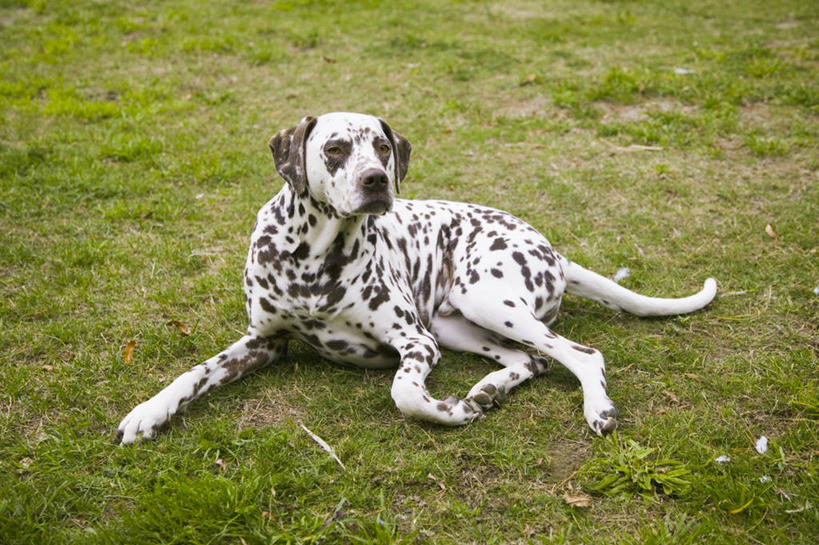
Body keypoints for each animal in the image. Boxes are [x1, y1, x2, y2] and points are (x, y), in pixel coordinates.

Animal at [117, 110, 716, 442]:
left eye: (382, 146)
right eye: (335, 148)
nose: (377, 180)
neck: (313, 256)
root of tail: (555, 251)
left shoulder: (415, 342)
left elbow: (404, 393)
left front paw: (443, 410)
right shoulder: (262, 342)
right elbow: (194, 372)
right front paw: (148, 412)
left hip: (482, 301)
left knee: (581, 355)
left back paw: (596, 408)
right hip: (458, 323)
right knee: (533, 361)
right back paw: (487, 390)